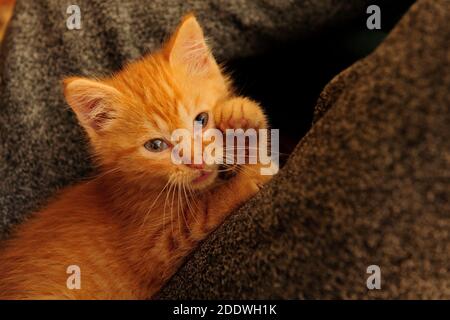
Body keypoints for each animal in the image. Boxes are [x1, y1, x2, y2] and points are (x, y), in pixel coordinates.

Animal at [0, 15, 272, 300]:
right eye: (155, 145)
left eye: (202, 119)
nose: (196, 161)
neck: (137, 187)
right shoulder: (156, 247)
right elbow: (207, 210)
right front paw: (248, 178)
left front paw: (241, 121)